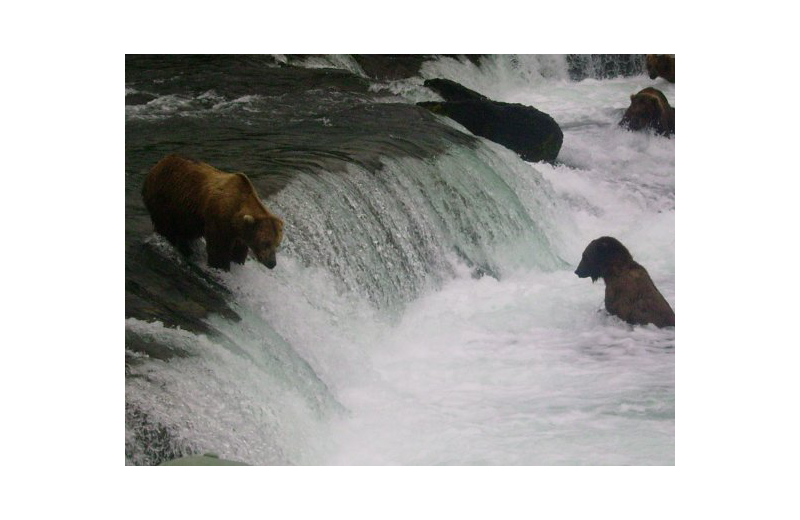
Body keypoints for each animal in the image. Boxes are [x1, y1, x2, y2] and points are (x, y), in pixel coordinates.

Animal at [141, 153, 284, 272]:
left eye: (277, 244)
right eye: (265, 242)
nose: (272, 263)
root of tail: (156, 166)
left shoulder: (238, 232)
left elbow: (238, 248)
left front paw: (237, 261)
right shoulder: (219, 218)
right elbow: (218, 248)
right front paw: (221, 266)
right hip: (164, 199)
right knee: (166, 226)